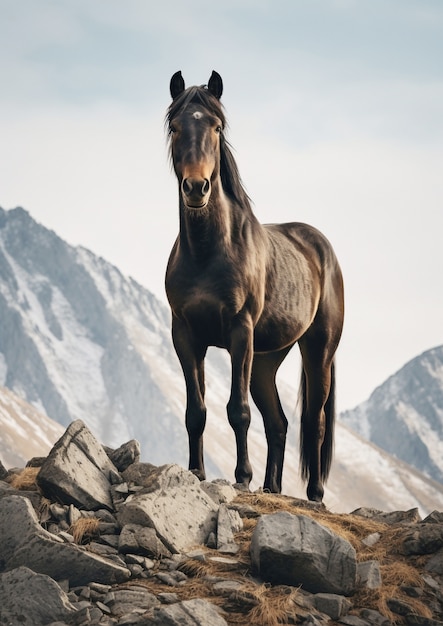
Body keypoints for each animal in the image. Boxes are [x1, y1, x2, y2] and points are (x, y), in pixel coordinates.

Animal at [165, 70, 346, 500]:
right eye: (175, 126)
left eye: (216, 127)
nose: (196, 188)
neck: (208, 252)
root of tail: (321, 248)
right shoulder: (185, 335)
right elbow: (196, 411)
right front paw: (195, 472)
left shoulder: (239, 332)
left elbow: (238, 410)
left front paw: (241, 476)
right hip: (266, 360)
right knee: (278, 422)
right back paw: (272, 487)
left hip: (318, 349)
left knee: (314, 420)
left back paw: (314, 494)